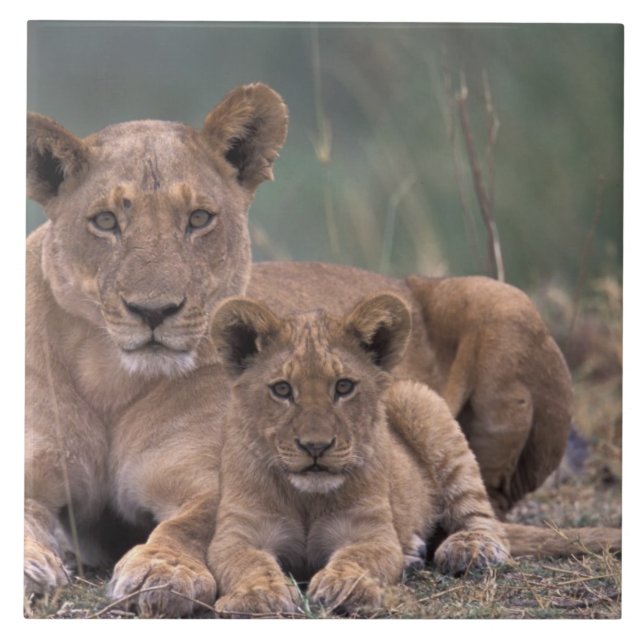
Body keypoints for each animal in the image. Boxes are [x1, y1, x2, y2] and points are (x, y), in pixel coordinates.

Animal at [25, 82, 586, 616]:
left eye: (199, 219)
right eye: (104, 222)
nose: (153, 310)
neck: (110, 380)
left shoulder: (219, 484)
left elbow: (190, 525)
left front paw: (161, 571)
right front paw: (34, 567)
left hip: (503, 302)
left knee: (485, 502)